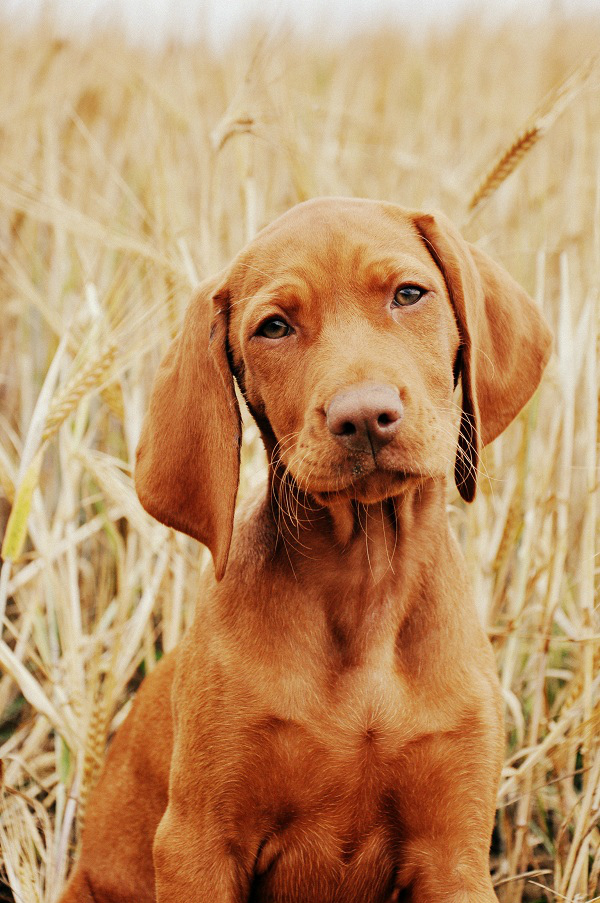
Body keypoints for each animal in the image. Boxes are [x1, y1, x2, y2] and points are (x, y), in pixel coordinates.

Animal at [61, 200, 552, 903]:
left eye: (409, 295)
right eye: (274, 327)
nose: (365, 415)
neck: (365, 582)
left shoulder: (453, 856)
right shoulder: (197, 843)